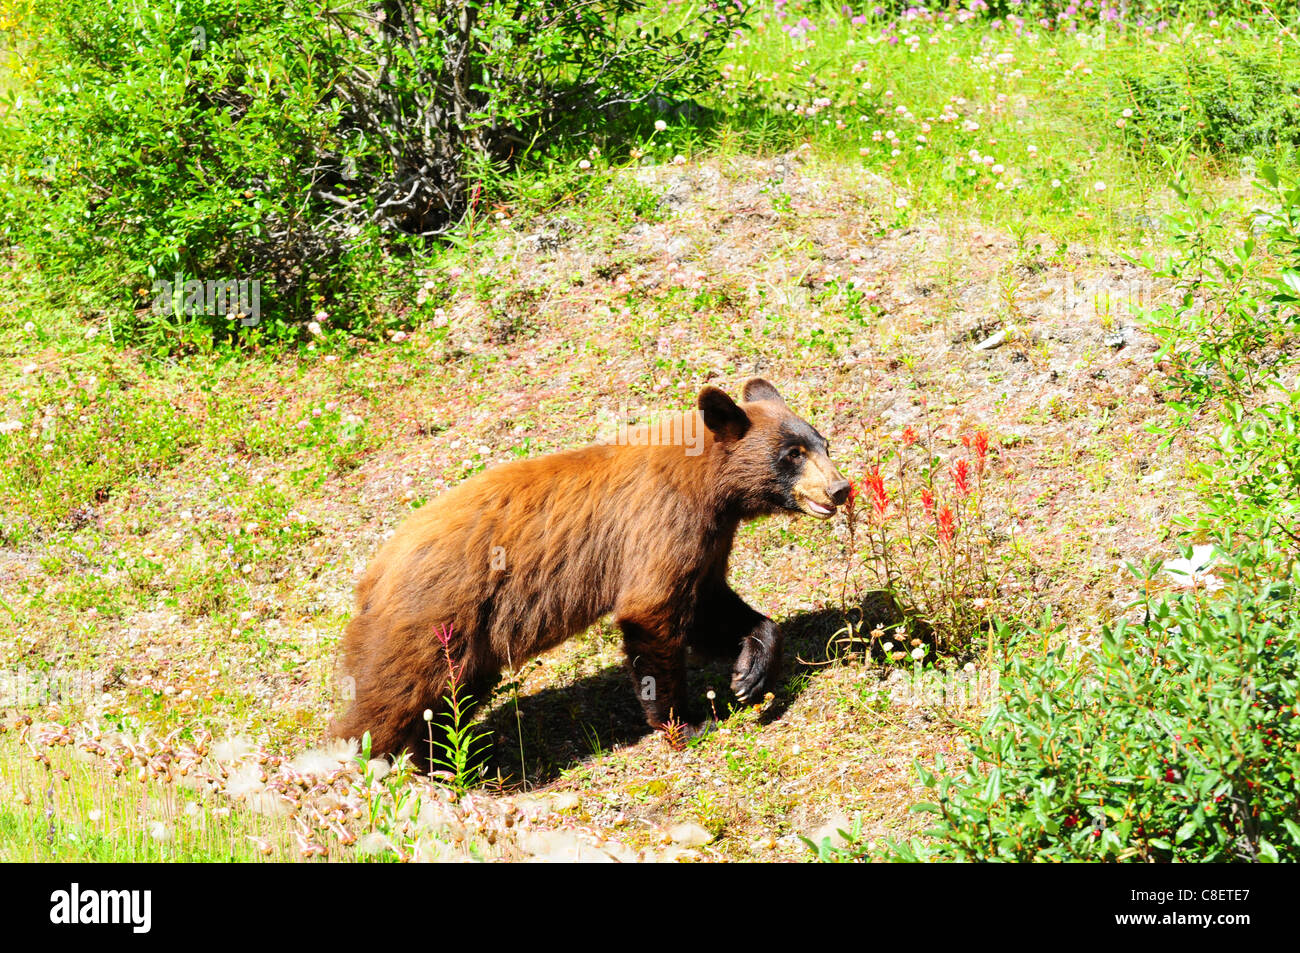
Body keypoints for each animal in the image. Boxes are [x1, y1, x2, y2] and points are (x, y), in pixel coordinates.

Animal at [330, 377, 847, 759]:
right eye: (792, 455)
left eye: (823, 443)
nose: (840, 489)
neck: (709, 487)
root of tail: (373, 573)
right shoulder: (663, 522)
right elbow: (652, 609)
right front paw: (683, 724)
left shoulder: (710, 538)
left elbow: (710, 603)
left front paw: (749, 674)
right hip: (431, 619)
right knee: (390, 696)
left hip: (469, 643)